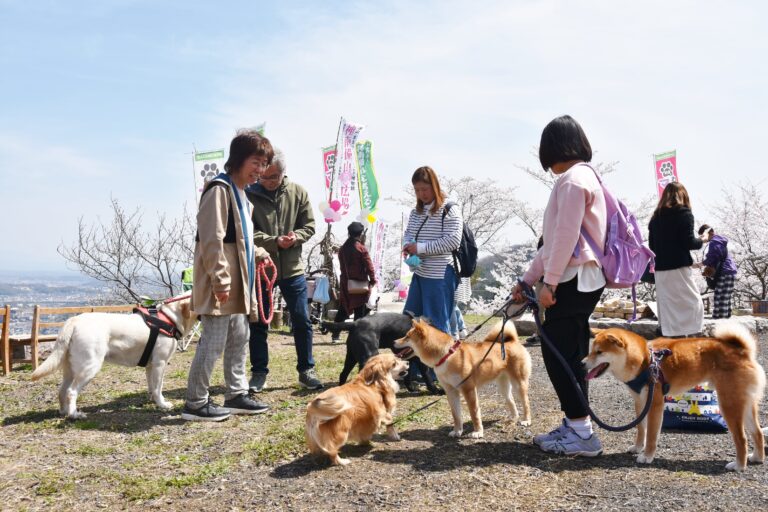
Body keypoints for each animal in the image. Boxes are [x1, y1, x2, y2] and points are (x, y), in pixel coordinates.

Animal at [31, 298, 196, 418]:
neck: (170, 317)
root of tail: (74, 321)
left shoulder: (151, 366)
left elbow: (152, 387)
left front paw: (154, 401)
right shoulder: (159, 363)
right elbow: (158, 387)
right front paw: (162, 404)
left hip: (70, 369)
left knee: (62, 390)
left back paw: (64, 412)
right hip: (90, 367)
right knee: (71, 392)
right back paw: (74, 415)